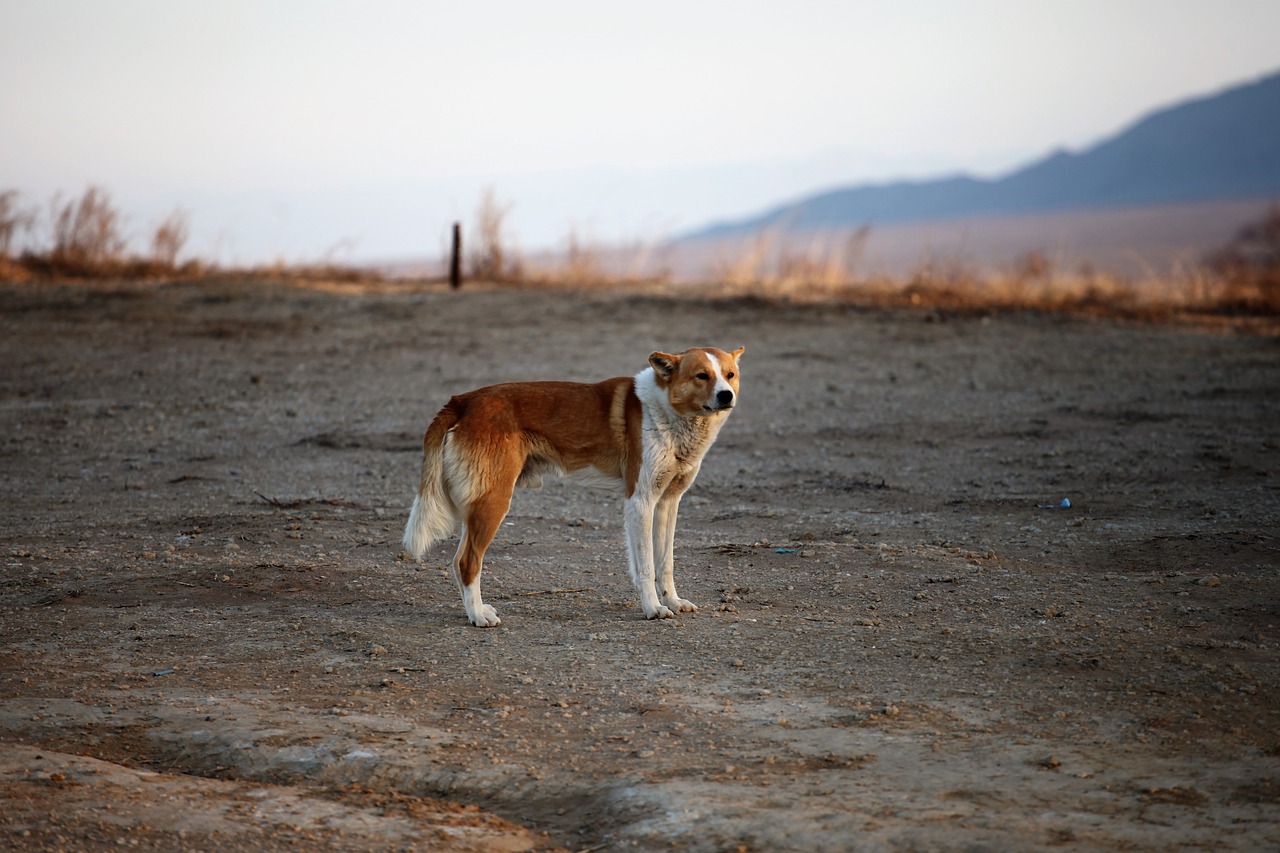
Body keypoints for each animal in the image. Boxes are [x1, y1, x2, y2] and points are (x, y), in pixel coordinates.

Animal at [399, 345, 742, 625]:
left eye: (730, 375)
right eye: (701, 376)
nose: (727, 395)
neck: (666, 410)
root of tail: (462, 401)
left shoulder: (667, 503)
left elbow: (665, 563)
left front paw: (672, 601)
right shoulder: (640, 501)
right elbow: (646, 566)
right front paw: (653, 608)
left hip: (479, 504)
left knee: (459, 562)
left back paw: (474, 611)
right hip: (493, 501)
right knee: (468, 562)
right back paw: (478, 617)